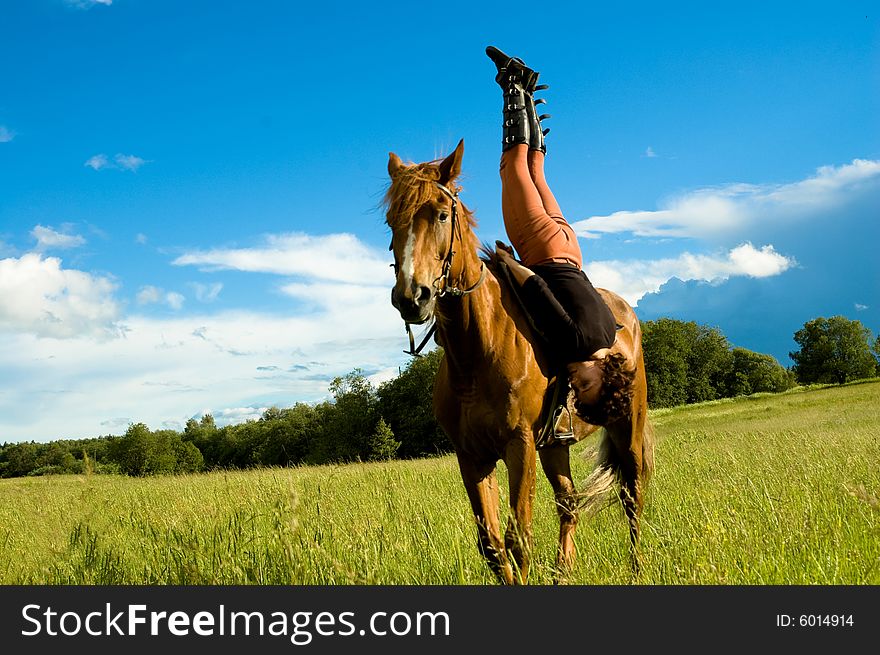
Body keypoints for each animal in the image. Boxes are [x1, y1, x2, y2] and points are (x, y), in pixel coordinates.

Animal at [384, 140, 652, 584]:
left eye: (441, 213)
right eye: (391, 222)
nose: (412, 297)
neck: (475, 352)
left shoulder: (520, 445)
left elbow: (518, 538)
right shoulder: (472, 455)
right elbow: (491, 543)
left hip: (626, 425)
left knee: (632, 495)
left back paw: (636, 569)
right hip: (555, 445)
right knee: (568, 503)